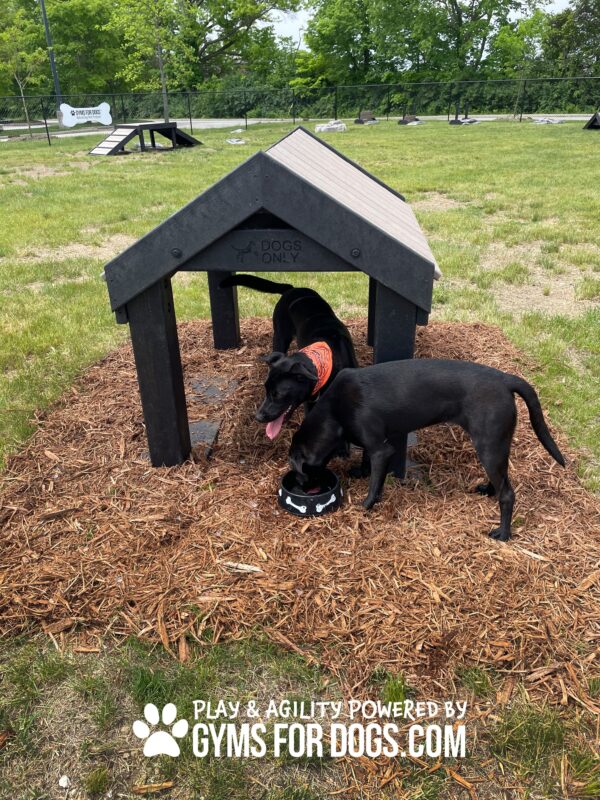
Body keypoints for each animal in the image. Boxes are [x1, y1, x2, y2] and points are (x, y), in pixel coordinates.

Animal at [288, 360, 564, 540]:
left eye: (301, 472)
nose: (301, 487)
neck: (334, 409)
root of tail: (506, 379)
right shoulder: (371, 443)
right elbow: (366, 461)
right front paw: (361, 472)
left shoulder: (381, 449)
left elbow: (375, 482)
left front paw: (366, 505)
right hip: (496, 445)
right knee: (502, 480)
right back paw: (487, 490)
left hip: (489, 444)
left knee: (507, 494)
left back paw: (503, 534)